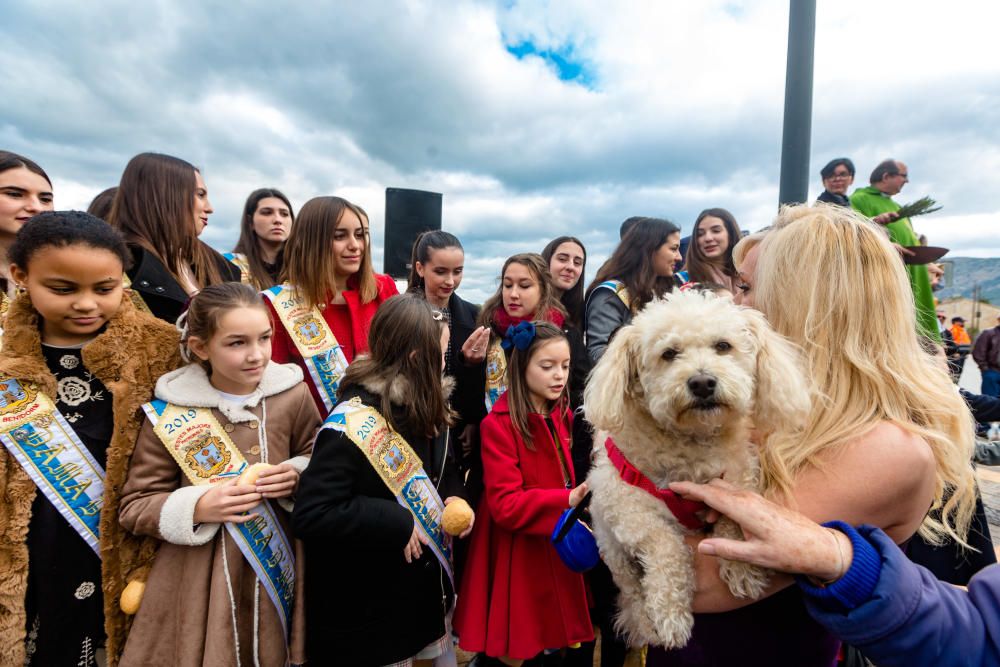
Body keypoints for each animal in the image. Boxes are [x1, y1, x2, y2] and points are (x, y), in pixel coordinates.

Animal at [584, 290, 812, 648]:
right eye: (669, 354)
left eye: (722, 346)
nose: (702, 382)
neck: (692, 445)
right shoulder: (626, 505)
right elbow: (665, 543)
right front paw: (670, 612)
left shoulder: (739, 476)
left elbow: (732, 517)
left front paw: (741, 567)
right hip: (613, 550)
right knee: (632, 592)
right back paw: (645, 621)